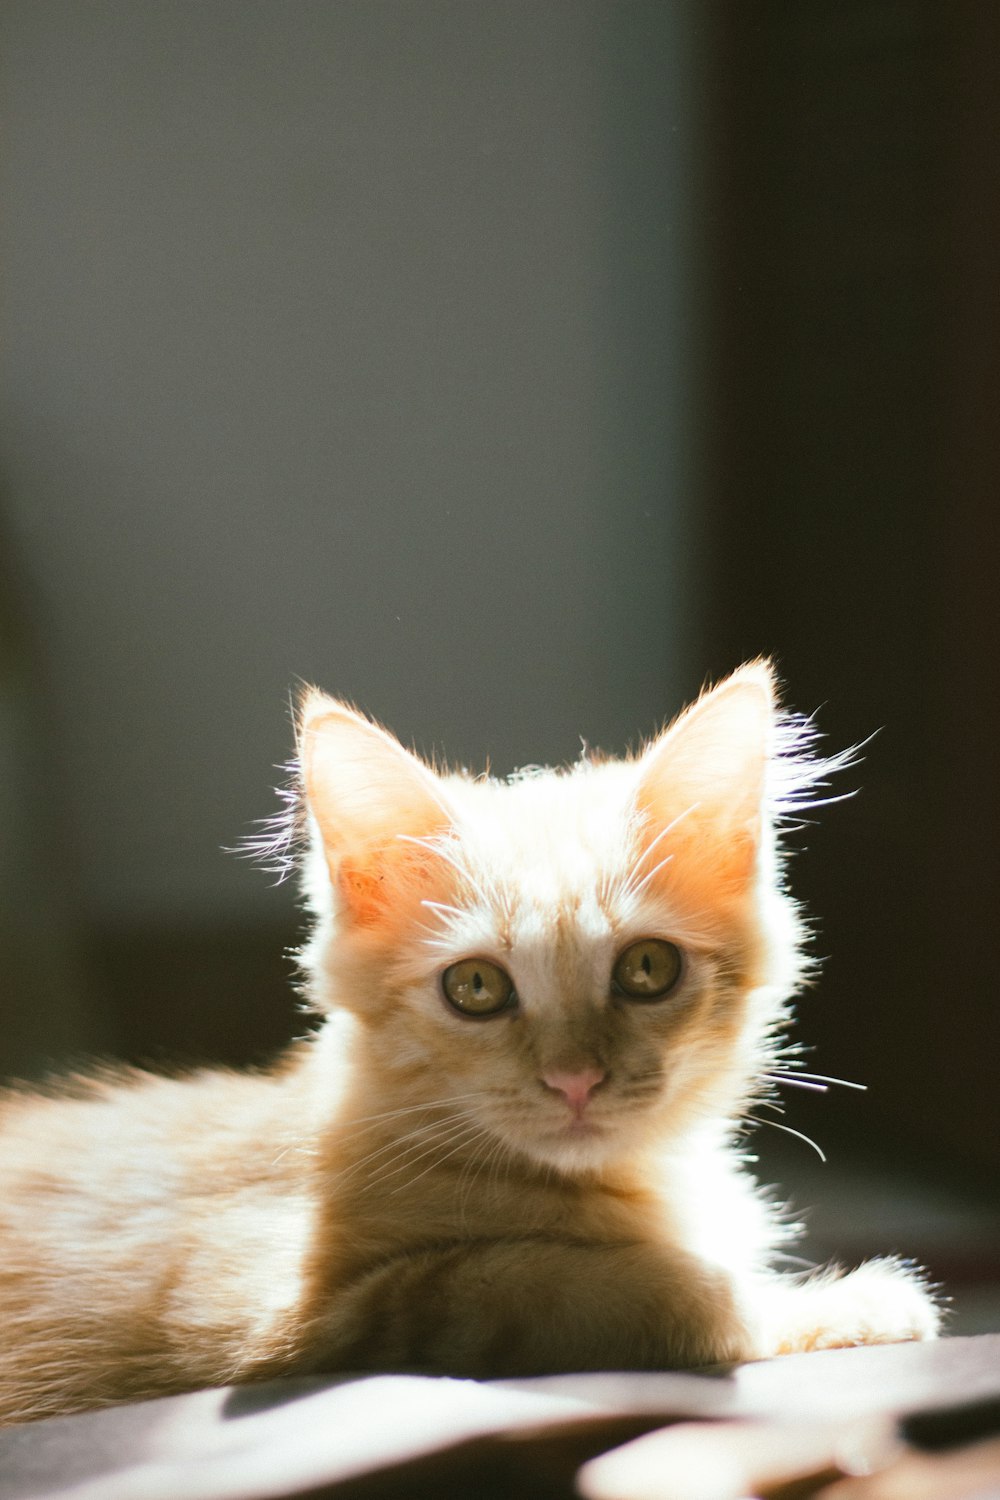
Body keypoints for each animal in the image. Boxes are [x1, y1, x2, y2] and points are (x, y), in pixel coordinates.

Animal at [0, 666, 941, 1416]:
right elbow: (581, 1283)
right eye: (477, 988)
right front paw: (809, 1304)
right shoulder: (282, 1316)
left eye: (646, 969)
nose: (574, 1080)